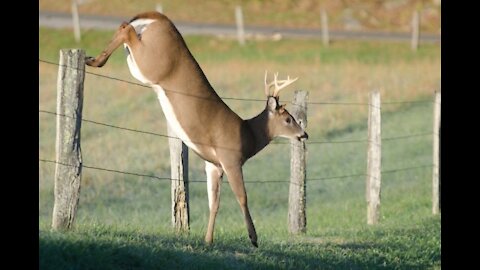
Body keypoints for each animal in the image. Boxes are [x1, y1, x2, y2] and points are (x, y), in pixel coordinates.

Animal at [84, 11, 310, 247]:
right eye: (288, 119)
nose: (304, 134)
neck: (248, 135)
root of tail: (159, 17)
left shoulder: (214, 165)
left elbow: (214, 203)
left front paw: (208, 239)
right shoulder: (230, 159)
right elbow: (242, 196)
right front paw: (254, 238)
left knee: (124, 27)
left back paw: (91, 59)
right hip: (151, 63)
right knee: (126, 28)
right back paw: (96, 60)